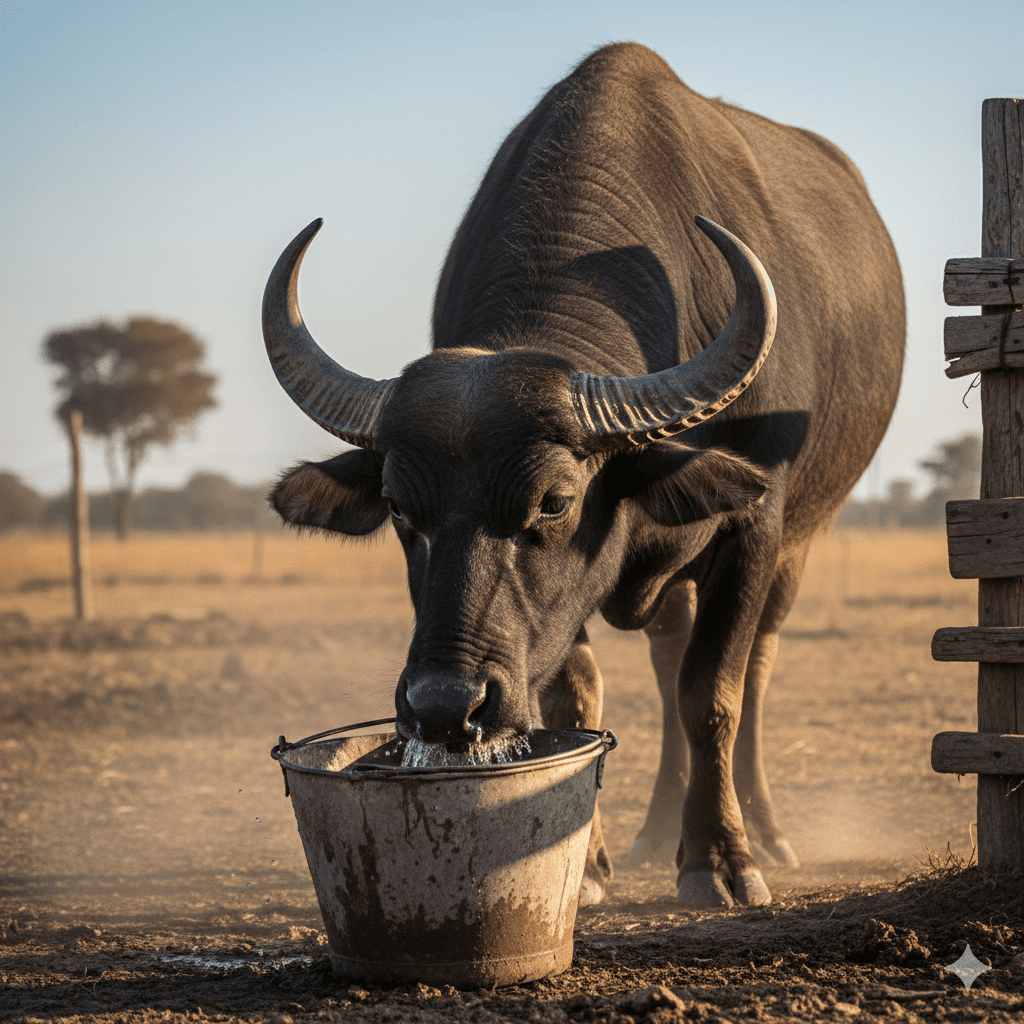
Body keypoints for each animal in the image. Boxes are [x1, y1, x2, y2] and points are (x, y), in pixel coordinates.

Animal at [261, 43, 904, 909]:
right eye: (398, 506)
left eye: (556, 500)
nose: (443, 707)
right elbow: (576, 694)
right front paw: (590, 863)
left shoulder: (753, 526)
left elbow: (715, 693)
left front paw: (722, 860)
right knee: (667, 658)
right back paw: (657, 831)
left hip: (800, 540)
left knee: (756, 664)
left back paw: (764, 830)